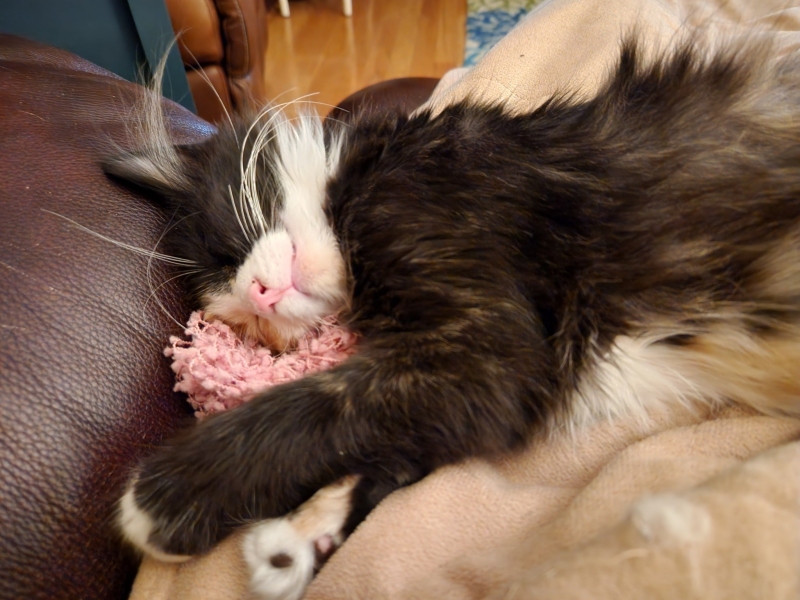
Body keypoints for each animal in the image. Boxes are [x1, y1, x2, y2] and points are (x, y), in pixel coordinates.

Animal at [106, 38, 800, 600]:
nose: (261, 295)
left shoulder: (490, 347)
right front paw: (304, 539)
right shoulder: (456, 378)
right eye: (249, 327)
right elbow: (393, 434)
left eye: (225, 252)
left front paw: (164, 498)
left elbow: (320, 404)